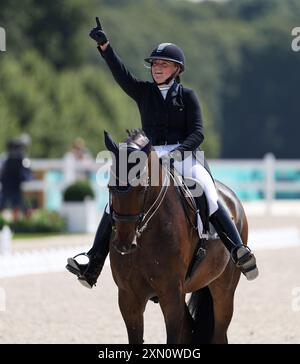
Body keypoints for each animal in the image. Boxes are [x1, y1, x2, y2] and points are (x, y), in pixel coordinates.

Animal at [104, 129, 247, 344]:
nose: (123, 243)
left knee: (219, 333)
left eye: (142, 188)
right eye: (110, 187)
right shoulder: (129, 298)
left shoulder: (171, 294)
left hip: (224, 290)